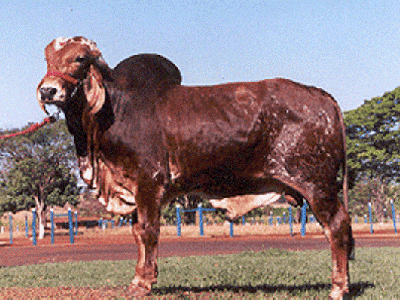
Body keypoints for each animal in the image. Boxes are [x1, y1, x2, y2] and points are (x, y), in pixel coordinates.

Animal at [36, 36, 354, 298]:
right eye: (47, 58)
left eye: (79, 58)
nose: (48, 90)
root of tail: (323, 98)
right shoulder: (132, 187)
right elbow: (137, 233)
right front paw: (141, 279)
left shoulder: (149, 182)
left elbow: (148, 231)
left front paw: (143, 283)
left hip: (317, 185)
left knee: (337, 227)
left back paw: (338, 288)